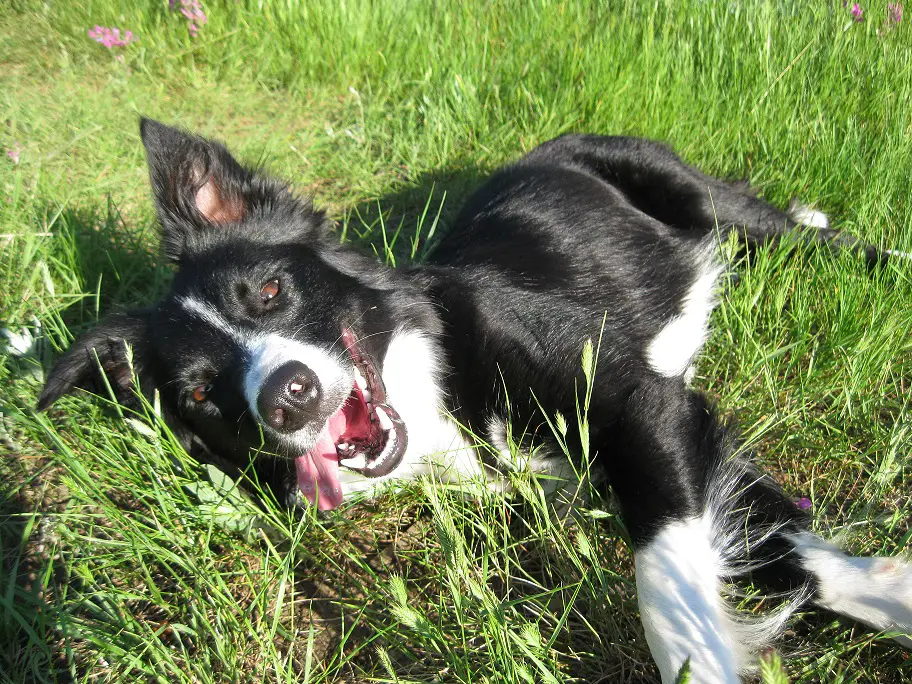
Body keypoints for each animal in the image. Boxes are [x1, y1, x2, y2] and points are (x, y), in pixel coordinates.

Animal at [39, 120, 912, 680]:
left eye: (271, 290)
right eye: (201, 393)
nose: (288, 398)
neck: (429, 391)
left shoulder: (644, 404)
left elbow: (670, 583)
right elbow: (786, 547)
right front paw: (894, 593)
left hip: (702, 198)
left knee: (824, 242)